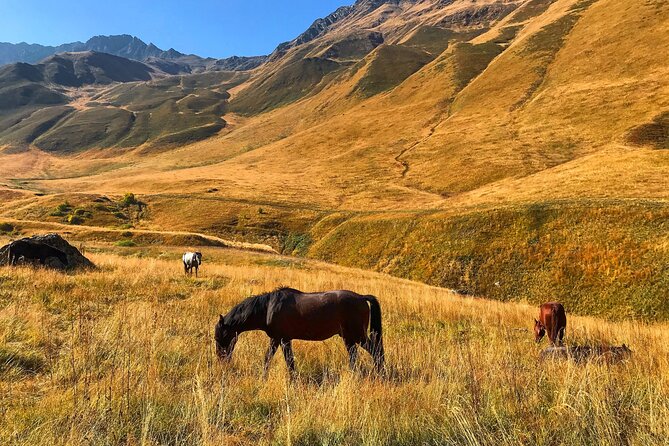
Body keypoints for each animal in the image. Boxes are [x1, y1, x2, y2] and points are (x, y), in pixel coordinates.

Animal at [211, 286, 384, 376]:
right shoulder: (276, 339)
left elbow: (289, 361)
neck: (268, 308)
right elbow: (269, 358)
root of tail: (361, 297)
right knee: (355, 356)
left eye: (219, 338)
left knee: (376, 351)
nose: (221, 360)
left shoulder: (283, 339)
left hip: (357, 336)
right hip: (348, 338)